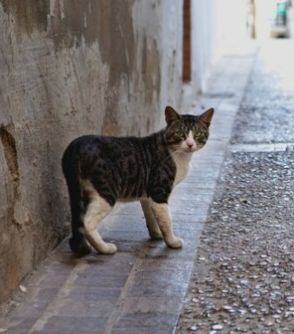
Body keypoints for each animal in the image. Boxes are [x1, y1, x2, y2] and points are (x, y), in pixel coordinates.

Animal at [62, 105, 214, 254]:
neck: (180, 156)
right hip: (106, 191)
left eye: (198, 134)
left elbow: (152, 216)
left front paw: (157, 234)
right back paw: (105, 248)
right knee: (87, 222)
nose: (190, 144)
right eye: (180, 134)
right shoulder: (159, 191)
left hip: (82, 191)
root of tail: (76, 144)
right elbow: (166, 219)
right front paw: (171, 241)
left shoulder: (148, 194)